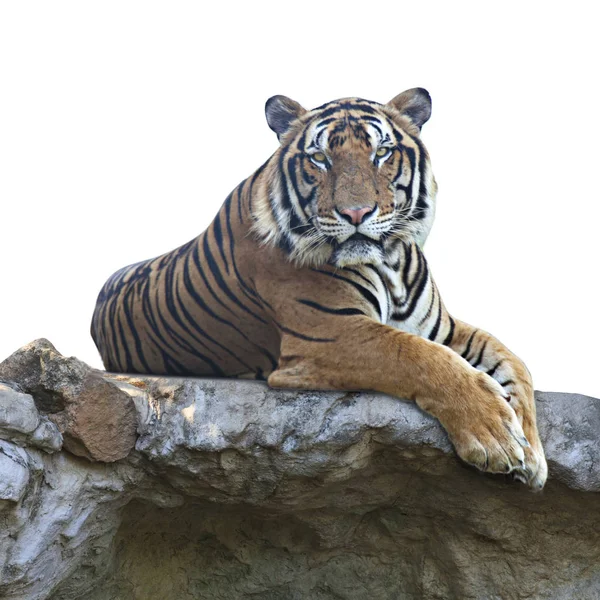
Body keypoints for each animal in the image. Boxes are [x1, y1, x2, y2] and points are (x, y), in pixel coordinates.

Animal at [91, 90, 548, 492]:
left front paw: (532, 455)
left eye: (381, 153)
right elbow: (421, 358)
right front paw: (496, 439)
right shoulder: (331, 332)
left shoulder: (442, 328)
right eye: (320, 158)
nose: (356, 213)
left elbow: (514, 364)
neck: (392, 263)